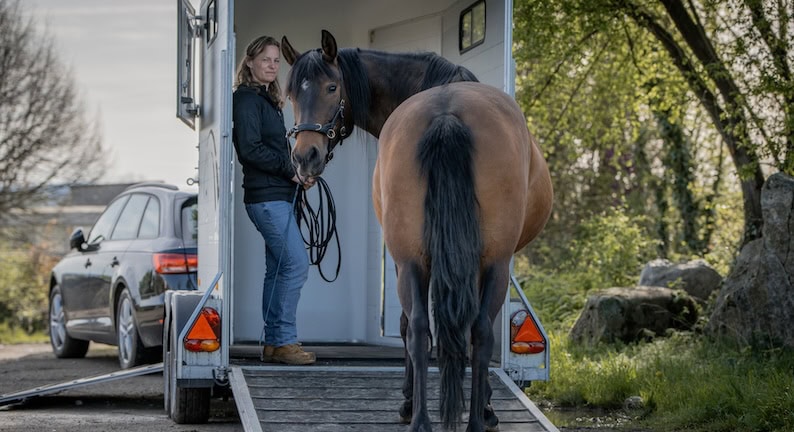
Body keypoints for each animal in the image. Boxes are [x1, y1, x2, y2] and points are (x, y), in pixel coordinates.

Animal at [281, 30, 553, 432]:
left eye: (331, 87)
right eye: (292, 95)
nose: (305, 157)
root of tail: (447, 114)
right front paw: (480, 405)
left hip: (422, 259)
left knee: (427, 329)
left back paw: (425, 418)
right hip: (485, 262)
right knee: (466, 330)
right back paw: (458, 417)